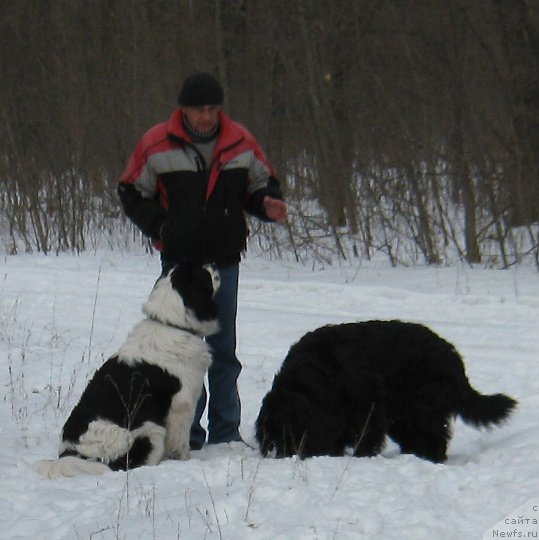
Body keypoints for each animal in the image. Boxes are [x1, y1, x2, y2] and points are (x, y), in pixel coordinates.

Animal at [35, 264, 219, 478]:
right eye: (203, 271)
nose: (215, 264)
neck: (171, 324)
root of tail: (73, 453)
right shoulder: (182, 406)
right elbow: (180, 444)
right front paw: (185, 462)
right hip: (151, 431)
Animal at [258, 320, 520, 464]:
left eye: (292, 436)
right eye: (273, 440)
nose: (286, 457)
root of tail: (454, 359)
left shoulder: (366, 414)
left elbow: (364, 440)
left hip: (420, 409)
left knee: (434, 438)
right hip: (403, 416)